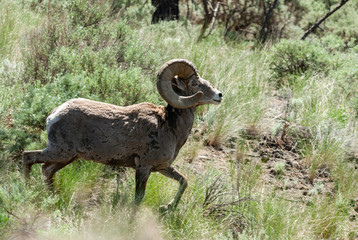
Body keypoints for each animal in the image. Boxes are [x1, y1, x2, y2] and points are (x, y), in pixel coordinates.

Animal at [23, 59, 221, 211]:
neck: (169, 125)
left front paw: (167, 207)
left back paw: (52, 198)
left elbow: (184, 181)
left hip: (67, 158)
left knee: (46, 170)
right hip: (60, 152)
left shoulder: (163, 168)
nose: (219, 95)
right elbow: (138, 198)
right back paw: (28, 191)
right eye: (195, 83)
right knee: (28, 157)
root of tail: (54, 114)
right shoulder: (144, 168)